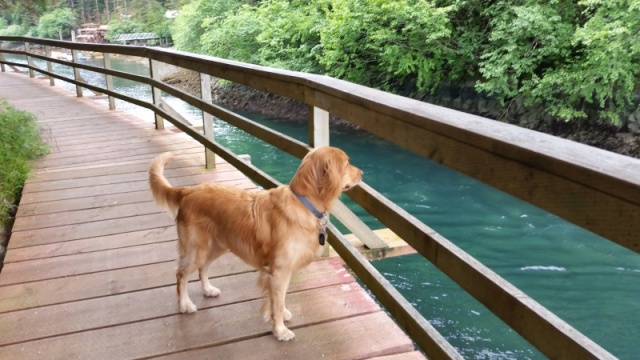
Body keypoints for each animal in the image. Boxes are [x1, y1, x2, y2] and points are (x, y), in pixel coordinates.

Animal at [147, 146, 362, 340]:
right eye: (347, 164)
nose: (362, 173)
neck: (303, 203)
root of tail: (188, 192)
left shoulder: (280, 272)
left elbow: (278, 299)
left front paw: (280, 317)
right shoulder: (279, 272)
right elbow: (278, 302)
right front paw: (280, 330)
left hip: (217, 246)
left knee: (203, 268)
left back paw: (208, 290)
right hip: (197, 248)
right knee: (181, 274)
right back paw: (184, 304)